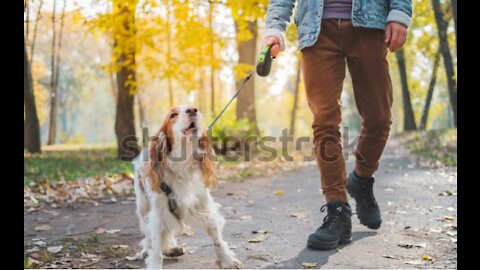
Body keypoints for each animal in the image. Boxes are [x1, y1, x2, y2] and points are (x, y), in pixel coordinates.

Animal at [131, 105, 242, 268]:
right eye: (173, 115)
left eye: (194, 108)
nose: (192, 110)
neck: (182, 164)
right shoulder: (158, 213)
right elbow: (156, 248)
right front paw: (155, 264)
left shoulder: (203, 206)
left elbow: (217, 238)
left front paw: (227, 260)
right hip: (143, 207)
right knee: (148, 235)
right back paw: (148, 250)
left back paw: (172, 249)